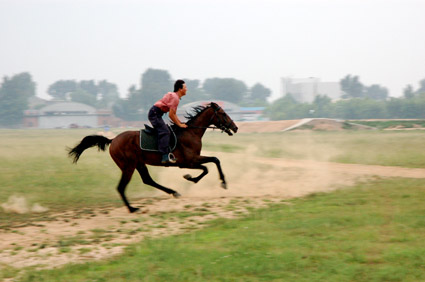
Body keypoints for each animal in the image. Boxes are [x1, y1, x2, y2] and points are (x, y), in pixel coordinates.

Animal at [68, 102, 237, 213]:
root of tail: (113, 140)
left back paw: (173, 192)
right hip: (128, 166)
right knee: (121, 187)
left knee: (147, 180)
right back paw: (132, 208)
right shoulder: (189, 161)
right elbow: (210, 164)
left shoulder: (190, 161)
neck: (191, 132)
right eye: (223, 113)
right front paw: (207, 180)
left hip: (139, 163)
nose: (235, 127)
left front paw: (198, 179)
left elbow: (213, 161)